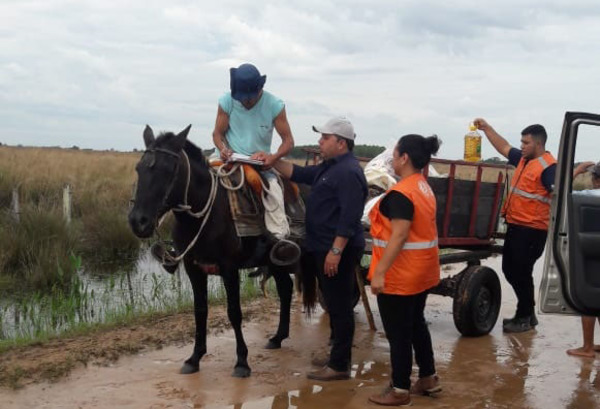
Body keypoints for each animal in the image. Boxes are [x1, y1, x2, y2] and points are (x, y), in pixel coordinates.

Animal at [128, 125, 312, 376]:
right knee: (286, 289)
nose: (138, 221)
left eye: (169, 169)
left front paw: (242, 361)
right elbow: (200, 310)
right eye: (139, 168)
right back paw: (277, 337)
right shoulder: (193, 268)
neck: (204, 214)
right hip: (276, 261)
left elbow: (234, 312)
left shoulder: (229, 268)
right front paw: (194, 358)